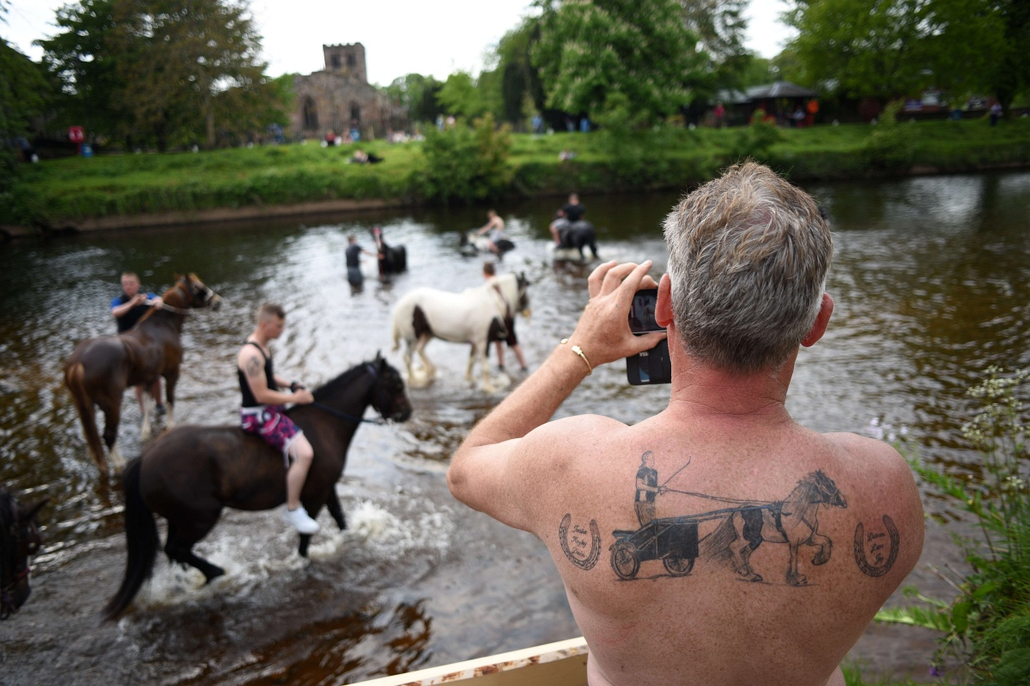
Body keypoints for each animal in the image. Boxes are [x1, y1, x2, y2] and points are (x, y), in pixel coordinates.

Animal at [62, 271, 221, 469]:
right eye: (199, 287)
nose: (218, 302)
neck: (162, 325)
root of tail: (78, 361)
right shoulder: (172, 373)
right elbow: (169, 400)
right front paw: (170, 426)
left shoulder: (148, 378)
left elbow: (147, 407)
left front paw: (145, 433)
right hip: (111, 403)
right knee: (109, 435)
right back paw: (121, 465)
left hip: (85, 405)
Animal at [102, 352, 409, 618]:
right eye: (395, 385)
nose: (407, 413)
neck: (325, 424)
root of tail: (145, 458)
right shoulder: (315, 495)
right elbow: (306, 537)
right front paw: (301, 562)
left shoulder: (325, 488)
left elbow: (340, 518)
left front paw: (354, 539)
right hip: (199, 518)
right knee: (177, 549)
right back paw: (218, 574)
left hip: (180, 518)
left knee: (174, 552)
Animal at [387, 271, 531, 389]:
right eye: (524, 289)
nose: (528, 309)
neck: (493, 303)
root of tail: (400, 304)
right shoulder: (483, 342)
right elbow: (485, 367)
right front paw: (490, 389)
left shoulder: (475, 342)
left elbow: (472, 360)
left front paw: (471, 378)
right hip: (412, 338)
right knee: (408, 358)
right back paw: (415, 381)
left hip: (427, 334)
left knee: (420, 349)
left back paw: (432, 372)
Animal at [700, 469, 852, 580]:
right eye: (829, 484)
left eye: (833, 482)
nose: (844, 502)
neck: (797, 513)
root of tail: (738, 511)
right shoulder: (794, 541)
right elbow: (794, 557)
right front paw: (797, 578)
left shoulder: (810, 538)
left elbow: (826, 541)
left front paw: (819, 559)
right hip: (746, 538)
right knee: (734, 547)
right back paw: (743, 570)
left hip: (756, 540)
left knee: (746, 554)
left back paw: (753, 575)